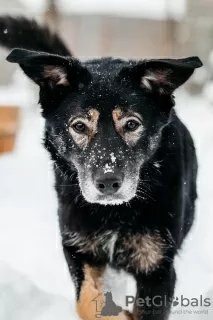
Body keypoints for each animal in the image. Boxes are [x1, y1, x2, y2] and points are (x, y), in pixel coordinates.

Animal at [0, 16, 203, 318]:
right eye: (79, 126)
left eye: (131, 124)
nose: (108, 182)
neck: (114, 213)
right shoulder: (79, 250)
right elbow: (87, 300)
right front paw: (116, 312)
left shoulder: (158, 268)